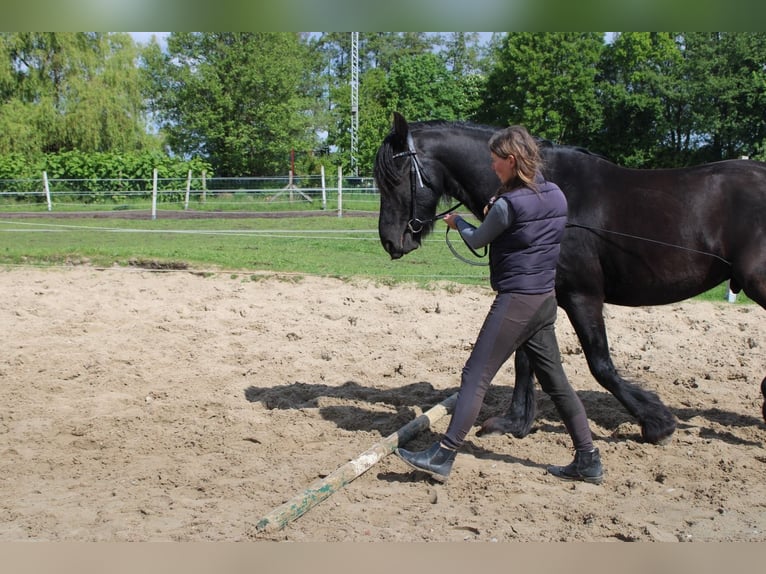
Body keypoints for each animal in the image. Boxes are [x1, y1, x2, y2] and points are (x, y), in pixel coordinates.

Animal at [374, 111, 766, 445]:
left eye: (395, 179)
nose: (391, 242)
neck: (543, 192)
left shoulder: (582, 296)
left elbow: (600, 364)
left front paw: (657, 422)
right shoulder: (537, 291)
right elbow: (524, 360)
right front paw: (514, 422)